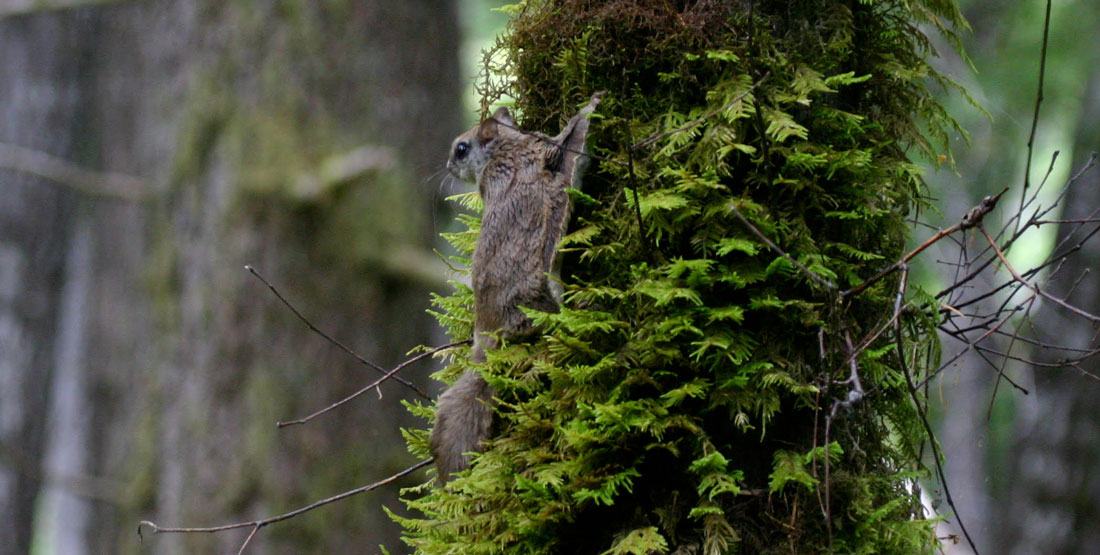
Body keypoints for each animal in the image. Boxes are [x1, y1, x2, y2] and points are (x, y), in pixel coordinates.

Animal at [426, 90, 602, 481]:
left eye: (461, 148)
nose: (447, 166)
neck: (506, 148)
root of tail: (486, 336)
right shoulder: (546, 154)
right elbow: (570, 139)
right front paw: (591, 107)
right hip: (534, 299)